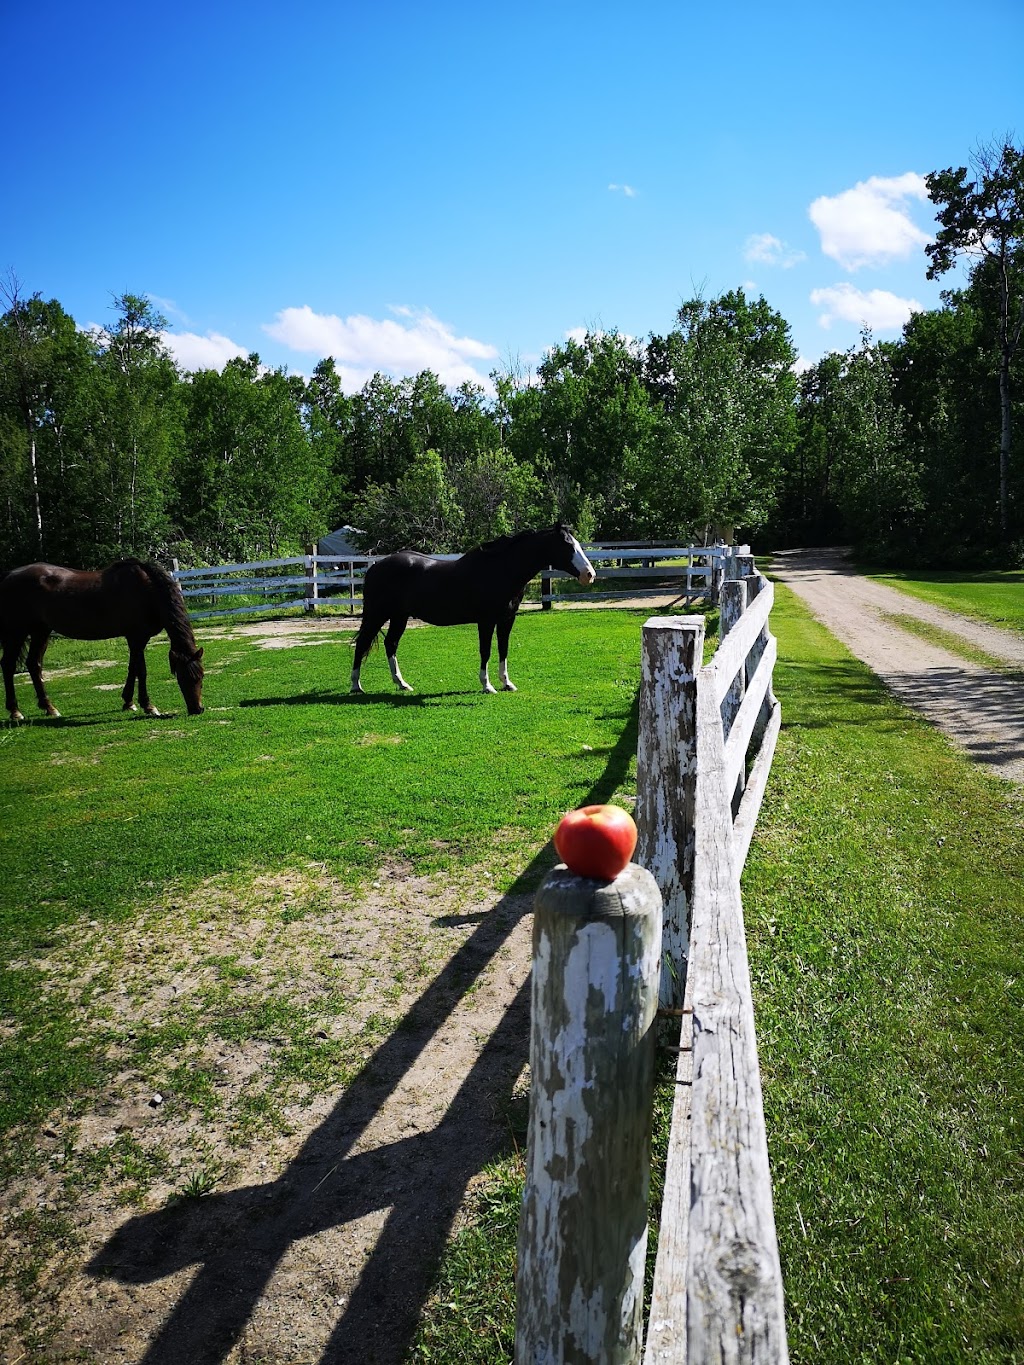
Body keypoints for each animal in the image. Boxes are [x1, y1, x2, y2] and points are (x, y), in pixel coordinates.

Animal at [0, 556, 204, 720]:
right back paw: (15, 711)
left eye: (201, 676)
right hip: (16, 631)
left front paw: (128, 702)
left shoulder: (138, 639)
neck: (147, 591)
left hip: (40, 631)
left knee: (34, 664)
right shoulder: (136, 638)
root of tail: (9, 575)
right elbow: (141, 670)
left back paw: (49, 708)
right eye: (181, 678)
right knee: (8, 665)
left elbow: (133, 669)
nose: (197, 709)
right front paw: (148, 706)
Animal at [352, 521, 598, 693]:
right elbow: (485, 651)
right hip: (377, 614)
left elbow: (503, 649)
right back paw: (356, 686)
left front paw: (507, 683)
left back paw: (402, 684)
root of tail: (375, 567)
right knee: (362, 643)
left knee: (391, 644)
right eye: (567, 546)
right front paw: (487, 686)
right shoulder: (486, 621)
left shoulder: (507, 620)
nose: (589, 575)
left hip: (399, 616)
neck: (501, 571)